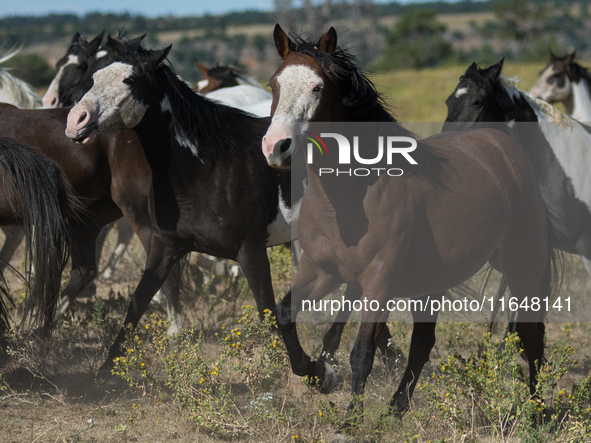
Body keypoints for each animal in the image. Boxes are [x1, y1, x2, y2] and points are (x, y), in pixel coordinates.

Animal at [262, 25, 560, 438]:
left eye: (317, 87)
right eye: (274, 83)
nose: (276, 147)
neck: (352, 195)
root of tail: (503, 148)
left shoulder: (379, 281)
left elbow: (362, 353)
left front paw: (351, 420)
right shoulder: (320, 271)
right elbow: (285, 316)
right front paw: (318, 373)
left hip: (522, 265)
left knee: (530, 336)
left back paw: (536, 413)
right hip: (431, 282)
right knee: (424, 342)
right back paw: (395, 409)